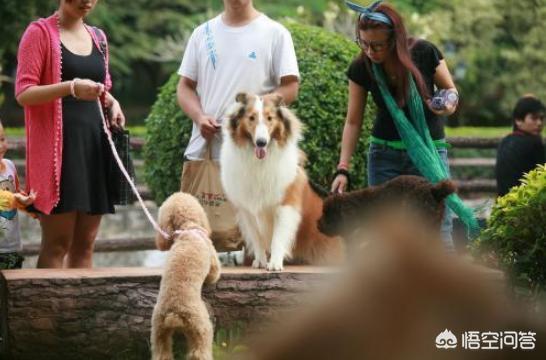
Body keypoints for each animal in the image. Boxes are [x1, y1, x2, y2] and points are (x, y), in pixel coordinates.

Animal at [219, 93, 342, 270]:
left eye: (270, 118)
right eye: (251, 118)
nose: (261, 142)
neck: (259, 162)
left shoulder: (285, 205)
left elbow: (277, 238)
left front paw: (275, 263)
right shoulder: (247, 210)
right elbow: (257, 239)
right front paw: (261, 261)